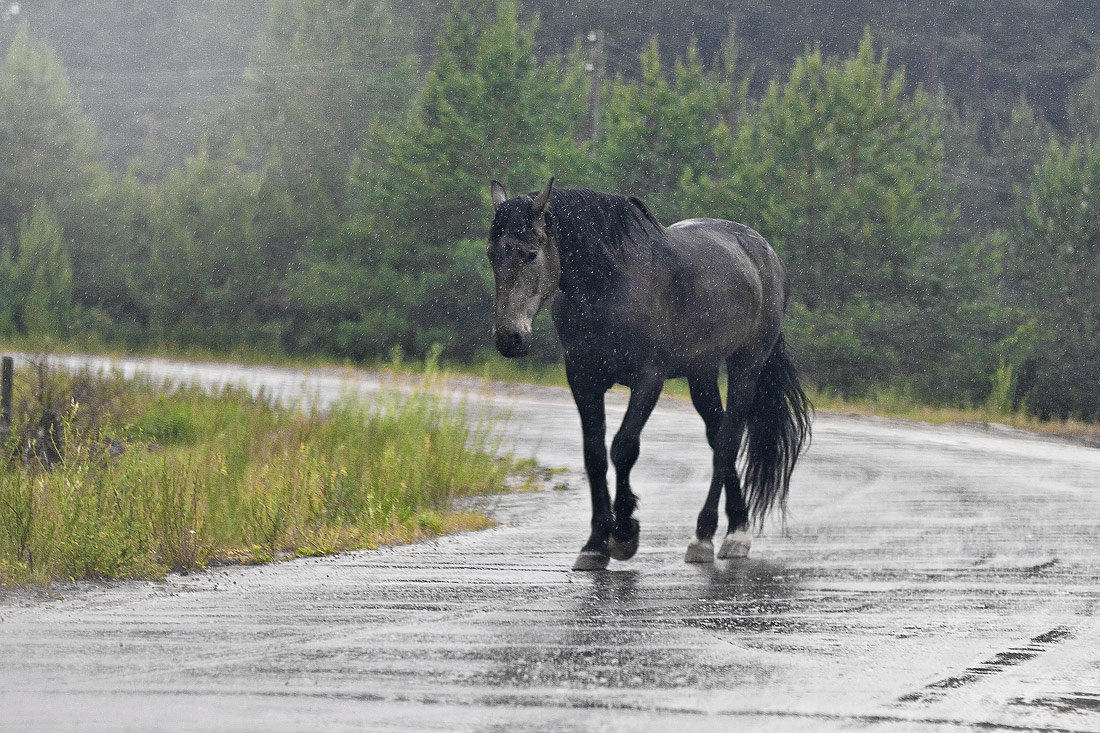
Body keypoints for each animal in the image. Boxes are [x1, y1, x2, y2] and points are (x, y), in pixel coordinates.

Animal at [486, 178, 814, 572]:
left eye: (531, 254)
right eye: (491, 254)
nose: (509, 338)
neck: (610, 284)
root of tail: (765, 253)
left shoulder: (648, 380)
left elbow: (624, 447)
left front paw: (625, 533)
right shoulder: (583, 380)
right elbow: (594, 455)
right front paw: (595, 545)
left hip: (745, 367)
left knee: (727, 441)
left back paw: (708, 537)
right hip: (702, 373)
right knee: (716, 434)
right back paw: (736, 528)